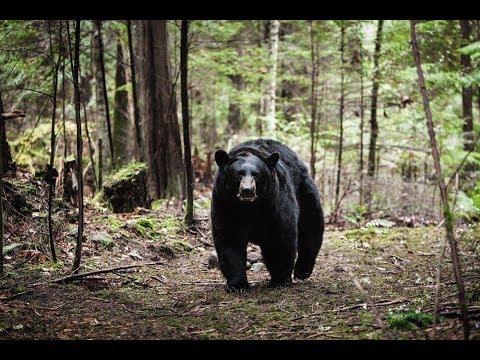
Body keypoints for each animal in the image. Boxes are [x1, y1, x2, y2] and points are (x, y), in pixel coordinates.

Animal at [212, 139, 324, 292]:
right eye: (238, 174)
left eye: (256, 174)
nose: (247, 190)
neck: (249, 208)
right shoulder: (224, 204)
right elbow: (229, 239)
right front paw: (237, 285)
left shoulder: (274, 204)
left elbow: (279, 238)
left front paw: (280, 279)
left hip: (304, 190)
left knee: (311, 225)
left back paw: (302, 270)